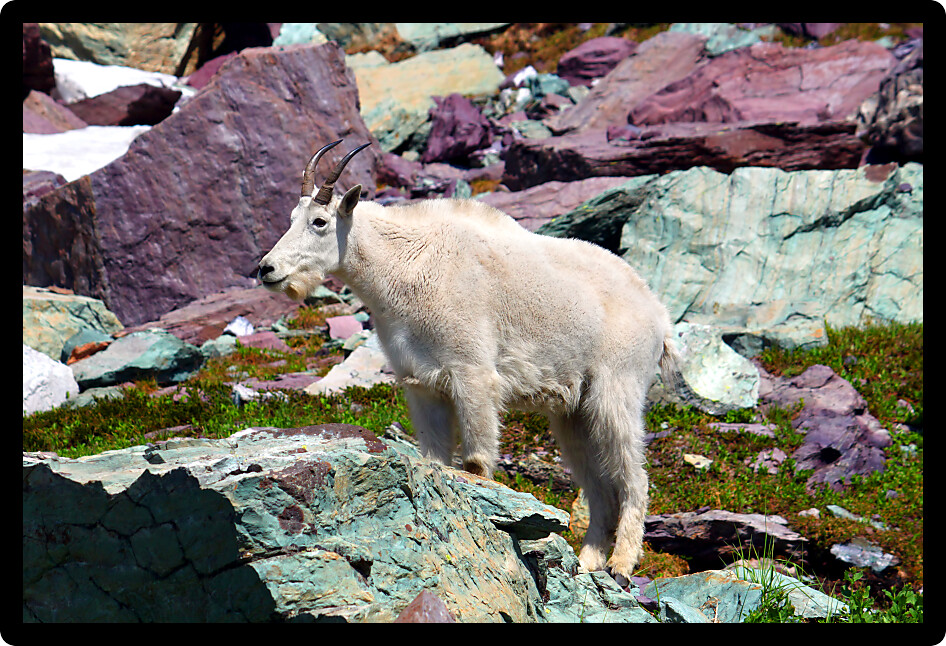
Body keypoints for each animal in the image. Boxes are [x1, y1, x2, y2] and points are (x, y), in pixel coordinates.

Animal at [258, 140, 680, 580]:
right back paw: (586, 562)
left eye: (320, 221)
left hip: (617, 388)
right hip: (573, 412)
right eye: (291, 219)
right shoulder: (421, 384)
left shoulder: (472, 375)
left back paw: (621, 564)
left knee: (634, 477)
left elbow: (476, 462)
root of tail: (659, 315)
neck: (402, 266)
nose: (266, 269)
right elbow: (436, 459)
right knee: (597, 487)